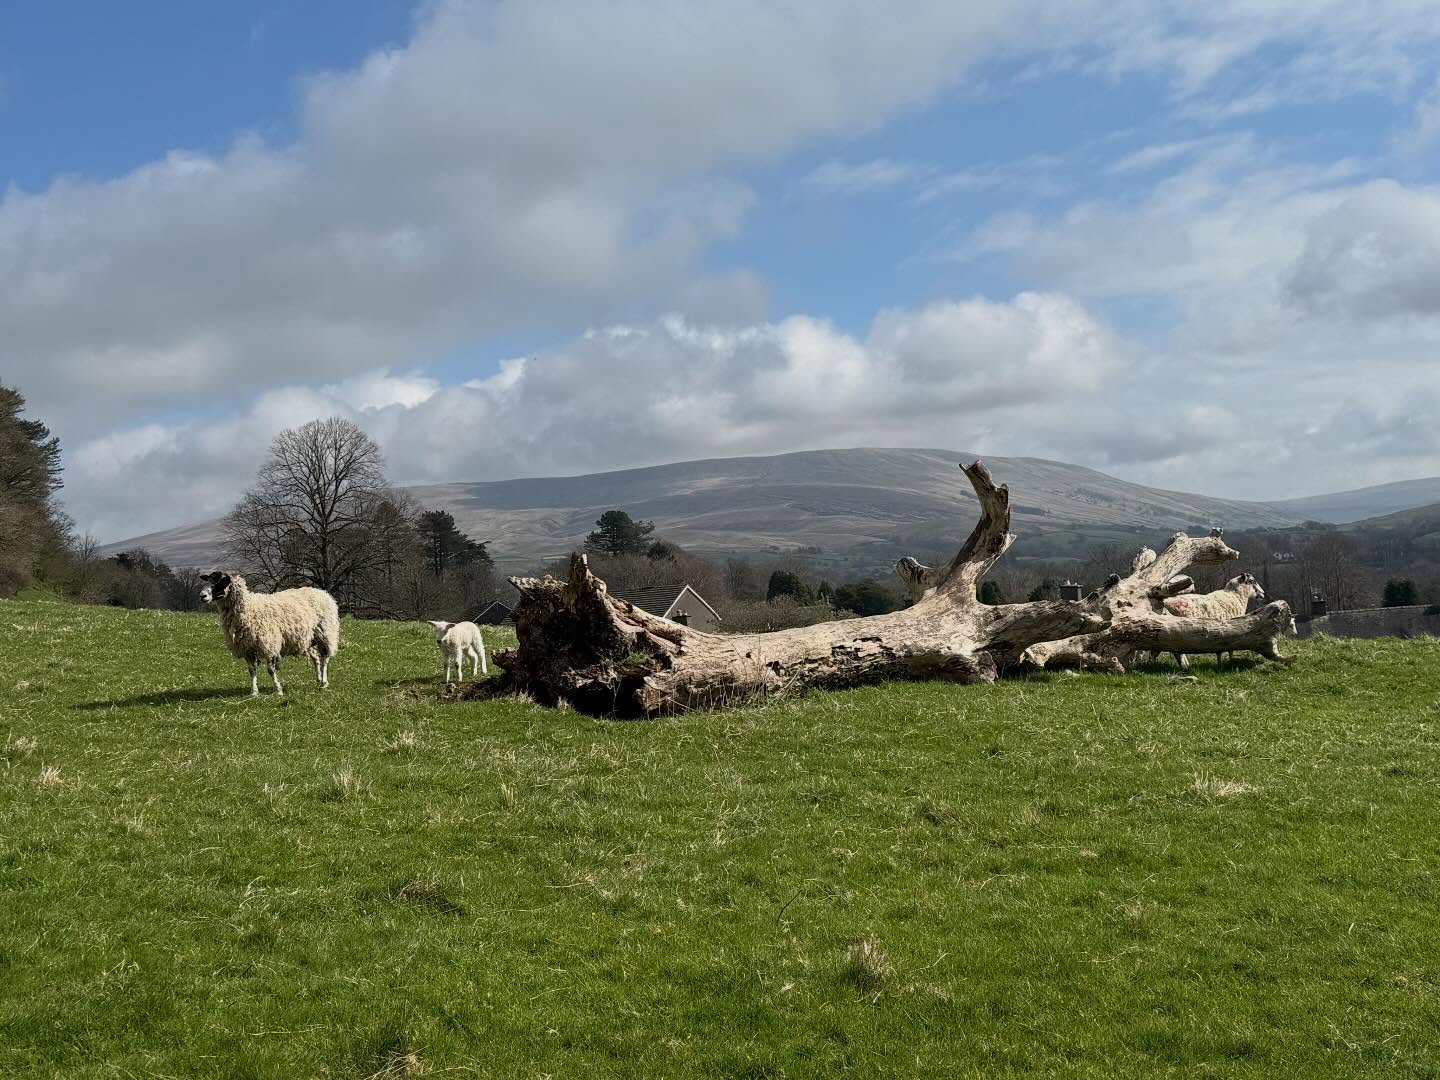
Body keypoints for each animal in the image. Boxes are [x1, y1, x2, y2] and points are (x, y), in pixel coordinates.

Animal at [199, 571, 339, 695]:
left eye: (220, 583)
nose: (202, 596)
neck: (249, 609)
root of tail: (322, 592)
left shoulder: (269, 644)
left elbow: (271, 670)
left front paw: (278, 690)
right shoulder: (247, 648)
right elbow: (252, 670)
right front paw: (254, 692)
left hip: (325, 633)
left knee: (325, 658)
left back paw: (324, 683)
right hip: (309, 639)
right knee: (316, 659)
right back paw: (318, 680)